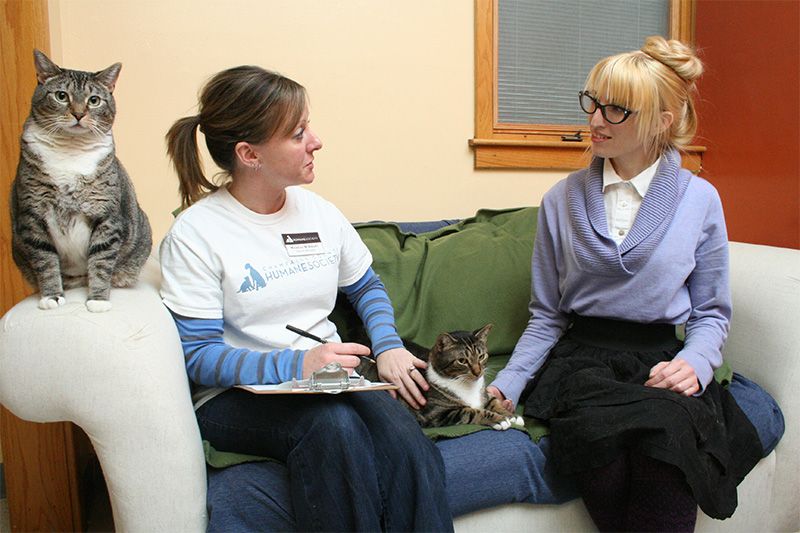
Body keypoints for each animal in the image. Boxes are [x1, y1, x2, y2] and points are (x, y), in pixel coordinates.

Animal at [10, 50, 152, 312]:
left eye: (94, 100)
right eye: (61, 96)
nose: (78, 114)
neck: (70, 150)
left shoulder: (106, 215)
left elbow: (101, 262)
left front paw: (98, 300)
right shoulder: (32, 215)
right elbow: (45, 261)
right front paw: (51, 297)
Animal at [358, 322, 524, 430]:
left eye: (482, 356)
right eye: (462, 361)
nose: (478, 372)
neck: (467, 385)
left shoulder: (484, 394)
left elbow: (494, 401)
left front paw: (511, 415)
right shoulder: (438, 413)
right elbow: (471, 411)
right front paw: (499, 419)